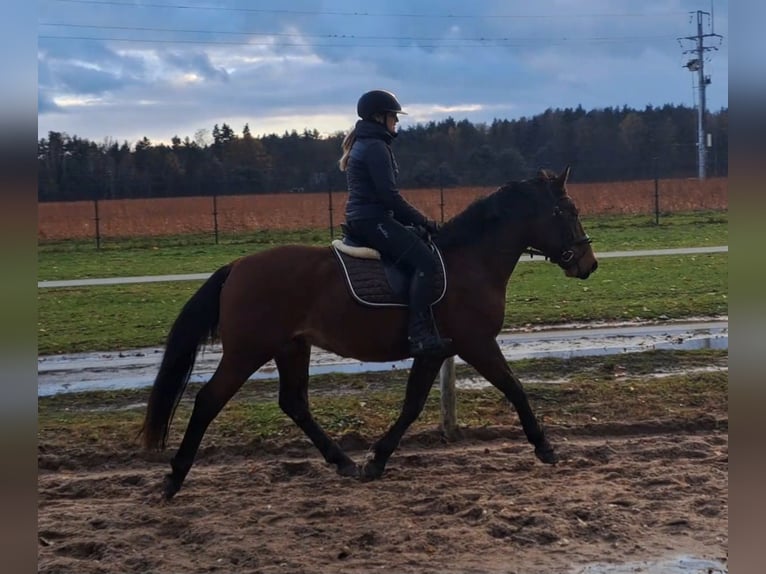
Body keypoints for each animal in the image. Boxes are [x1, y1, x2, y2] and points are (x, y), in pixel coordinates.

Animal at [142, 165, 600, 500]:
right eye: (569, 211)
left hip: (291, 348)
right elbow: (514, 388)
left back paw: (342, 462)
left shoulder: (435, 351)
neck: (470, 261)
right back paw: (174, 479)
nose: (588, 264)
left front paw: (376, 459)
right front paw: (544, 447)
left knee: (294, 403)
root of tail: (237, 267)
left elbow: (412, 405)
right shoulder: (475, 343)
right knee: (208, 401)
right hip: (247, 351)